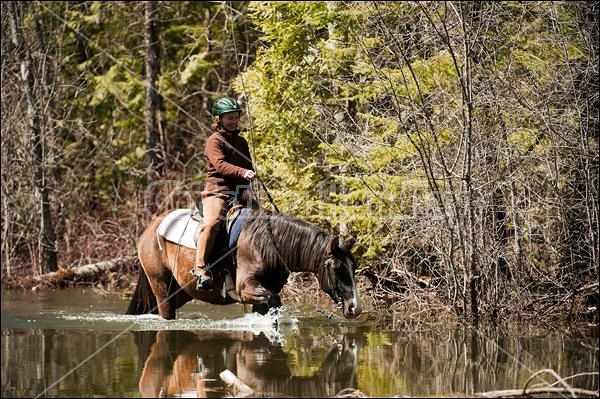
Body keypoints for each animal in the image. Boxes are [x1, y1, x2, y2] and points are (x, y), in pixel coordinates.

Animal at [126, 208, 360, 320]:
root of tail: (151, 228)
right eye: (337, 268)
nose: (355, 307)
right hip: (161, 287)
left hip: (180, 291)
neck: (267, 244)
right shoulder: (245, 289)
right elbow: (274, 301)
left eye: (354, 267)